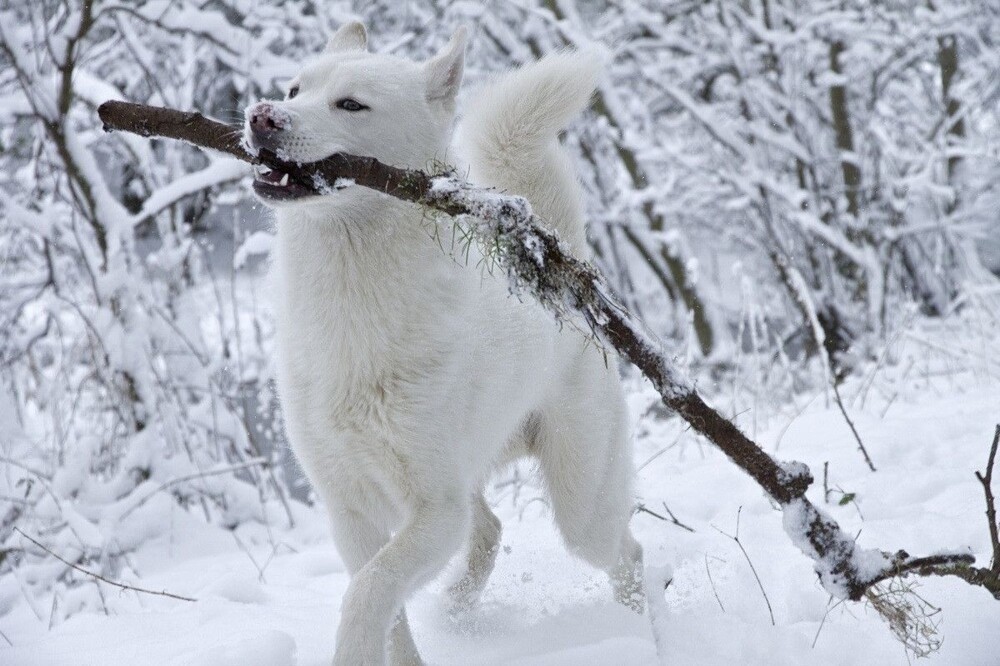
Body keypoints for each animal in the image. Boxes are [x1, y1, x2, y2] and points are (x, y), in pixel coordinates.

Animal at [246, 20, 644, 664]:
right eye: (294, 89)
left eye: (350, 104)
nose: (261, 116)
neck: (351, 305)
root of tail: (565, 267)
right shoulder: (349, 508)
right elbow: (386, 607)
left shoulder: (435, 511)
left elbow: (369, 592)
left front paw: (351, 650)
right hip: (476, 478)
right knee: (490, 531)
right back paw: (457, 606)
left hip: (581, 504)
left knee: (626, 554)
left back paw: (644, 628)